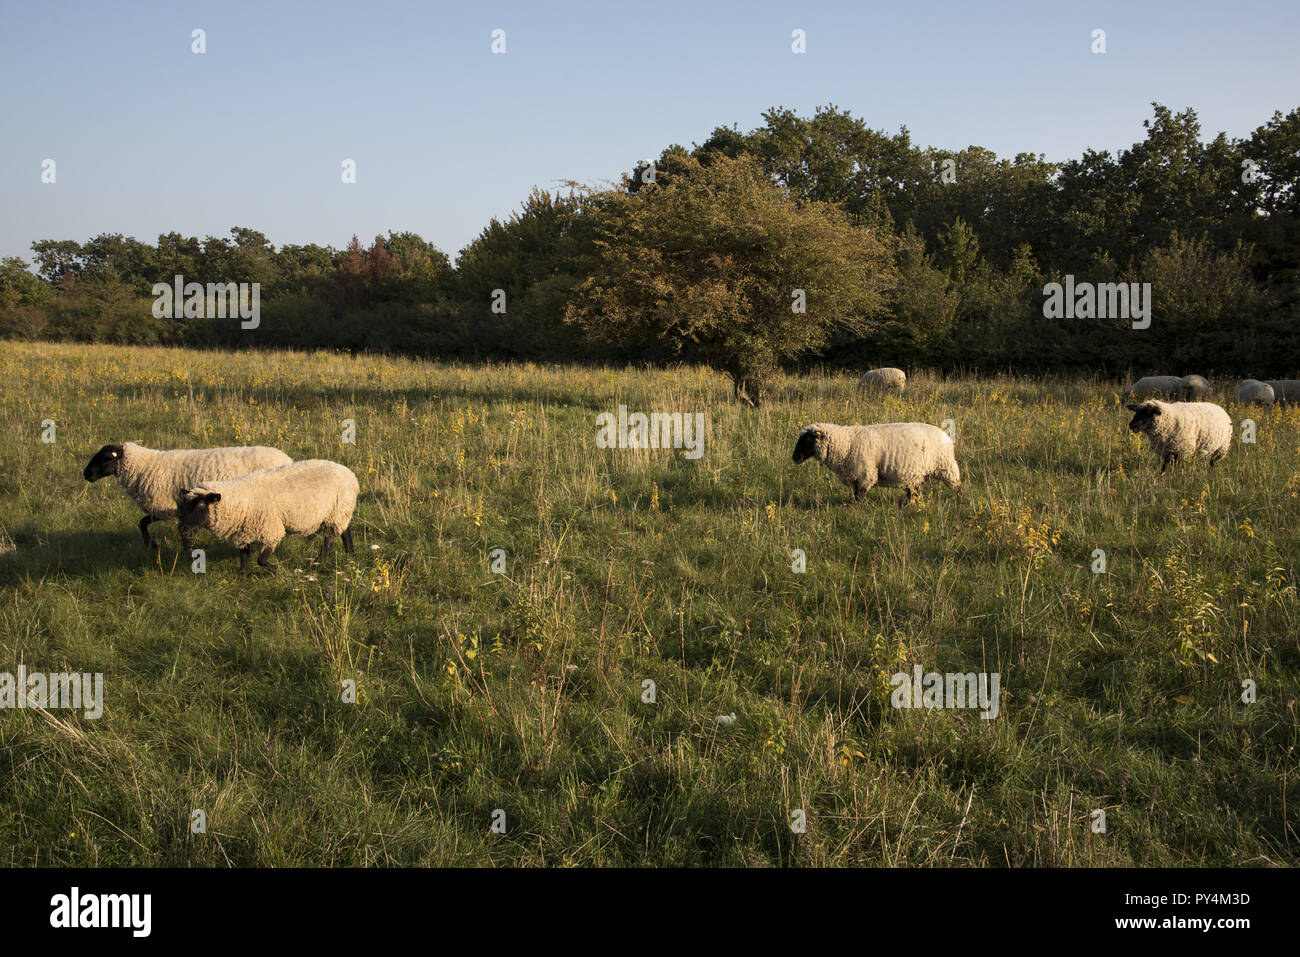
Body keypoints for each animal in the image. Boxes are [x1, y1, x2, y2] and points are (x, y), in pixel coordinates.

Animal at [83, 439, 292, 546]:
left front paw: (152, 544)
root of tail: (287, 459)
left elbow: (144, 523)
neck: (145, 466)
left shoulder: (166, 507)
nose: (86, 473)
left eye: (106, 458)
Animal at [175, 460, 361, 572]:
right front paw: (241, 578)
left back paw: (318, 562)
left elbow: (261, 560)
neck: (240, 500)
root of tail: (350, 473)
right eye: (184, 505)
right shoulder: (243, 531)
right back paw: (350, 553)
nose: (183, 529)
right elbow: (244, 556)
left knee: (330, 540)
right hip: (339, 511)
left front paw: (278, 570)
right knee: (345, 531)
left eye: (201, 505)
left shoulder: (271, 529)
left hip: (337, 511)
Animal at [785, 421, 961, 504]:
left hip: (946, 467)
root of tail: (945, 435)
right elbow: (855, 494)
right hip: (916, 474)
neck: (847, 443)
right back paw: (907, 505)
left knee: (957, 485)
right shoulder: (855, 476)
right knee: (913, 491)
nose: (795, 457)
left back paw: (959, 500)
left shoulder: (865, 474)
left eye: (808, 440)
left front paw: (857, 510)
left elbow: (859, 495)